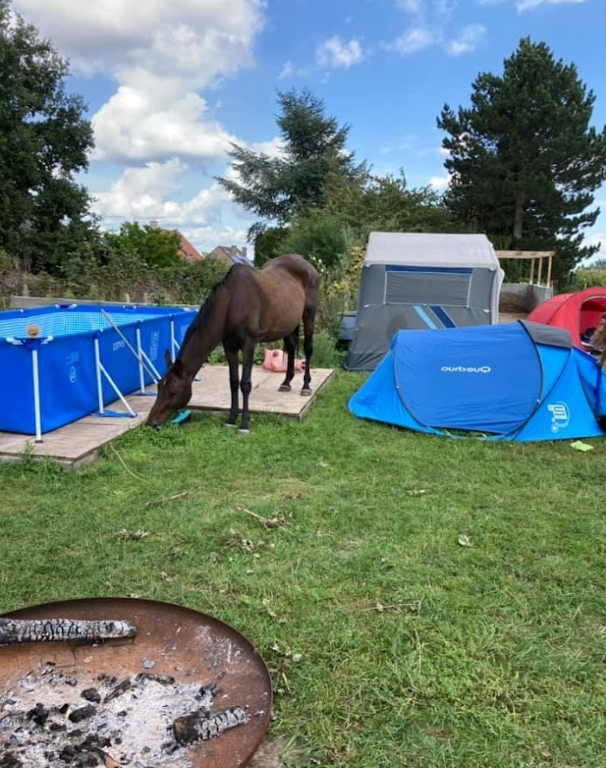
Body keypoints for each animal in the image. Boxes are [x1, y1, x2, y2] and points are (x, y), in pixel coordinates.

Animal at [147, 256, 320, 432]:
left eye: (174, 391)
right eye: (159, 387)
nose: (151, 422)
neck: (231, 302)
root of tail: (305, 263)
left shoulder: (249, 345)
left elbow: (245, 383)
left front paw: (244, 423)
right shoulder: (229, 346)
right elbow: (234, 382)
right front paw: (231, 419)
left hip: (309, 315)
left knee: (308, 348)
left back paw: (306, 386)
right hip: (287, 324)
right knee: (291, 347)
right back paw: (286, 383)